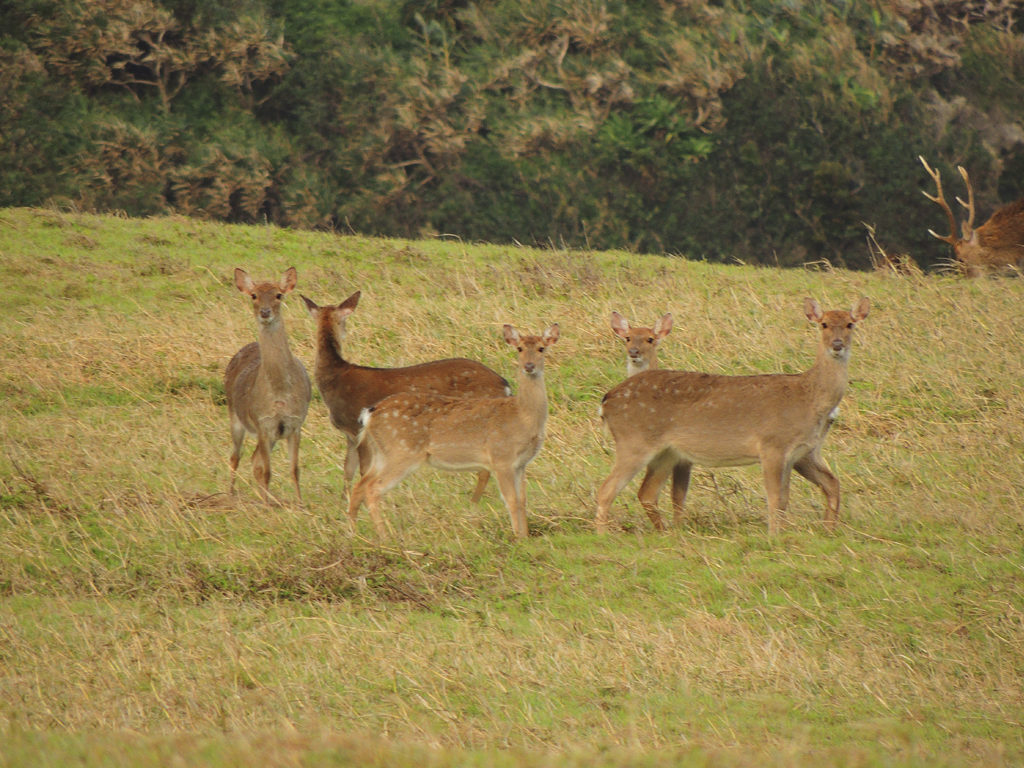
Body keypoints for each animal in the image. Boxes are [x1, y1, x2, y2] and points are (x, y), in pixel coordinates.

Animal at [227, 268, 311, 501]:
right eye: (254, 295)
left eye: (278, 295)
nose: (265, 312)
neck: (280, 394)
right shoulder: (262, 423)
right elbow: (267, 471)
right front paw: (266, 505)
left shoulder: (295, 423)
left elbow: (294, 469)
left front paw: (300, 504)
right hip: (235, 417)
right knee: (235, 457)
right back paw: (230, 495)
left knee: (253, 459)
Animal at [301, 290, 512, 501]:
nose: (345, 334)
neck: (335, 377)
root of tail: (505, 384)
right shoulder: (350, 435)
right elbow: (348, 470)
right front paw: (345, 499)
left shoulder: (356, 427)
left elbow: (362, 470)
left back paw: (474, 501)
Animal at [350, 321, 561, 536]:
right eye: (519, 349)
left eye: (541, 348)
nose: (529, 366)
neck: (522, 418)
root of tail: (370, 413)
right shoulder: (501, 457)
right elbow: (511, 501)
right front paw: (518, 538)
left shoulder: (521, 464)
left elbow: (523, 501)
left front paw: (525, 536)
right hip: (401, 452)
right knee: (372, 489)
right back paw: (385, 536)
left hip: (382, 453)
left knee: (359, 486)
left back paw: (354, 532)